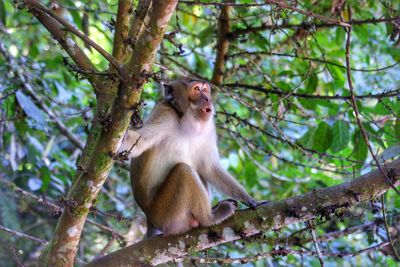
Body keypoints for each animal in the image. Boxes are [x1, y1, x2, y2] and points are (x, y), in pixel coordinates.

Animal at [120, 79, 264, 237]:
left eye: (205, 90)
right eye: (196, 89)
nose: (207, 99)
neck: (184, 121)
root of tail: (150, 220)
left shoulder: (208, 127)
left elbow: (209, 168)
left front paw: (250, 199)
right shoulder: (165, 114)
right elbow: (139, 143)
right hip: (164, 212)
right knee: (184, 170)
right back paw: (210, 218)